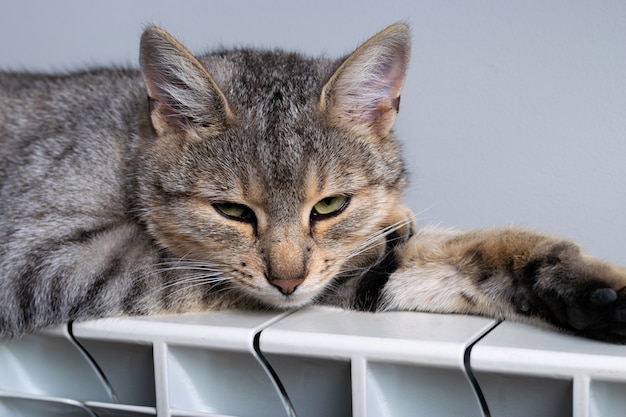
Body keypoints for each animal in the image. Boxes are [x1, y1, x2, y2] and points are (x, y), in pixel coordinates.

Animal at [1, 23, 624, 342]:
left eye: (329, 206)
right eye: (232, 212)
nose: (287, 280)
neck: (128, 143)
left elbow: (449, 261)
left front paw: (586, 288)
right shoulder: (44, 259)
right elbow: (189, 269)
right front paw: (387, 229)